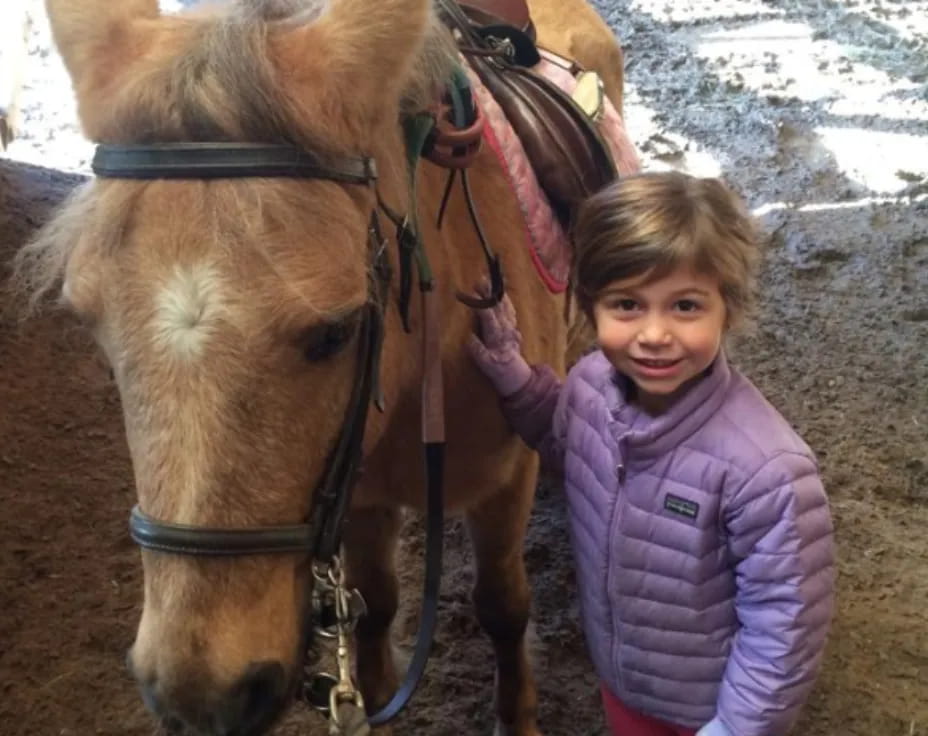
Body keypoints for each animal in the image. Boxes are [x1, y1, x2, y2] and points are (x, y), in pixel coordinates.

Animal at [18, 1, 632, 736]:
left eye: (337, 332)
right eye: (90, 321)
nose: (201, 695)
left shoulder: (506, 482)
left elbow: (503, 608)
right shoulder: (357, 495)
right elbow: (375, 611)